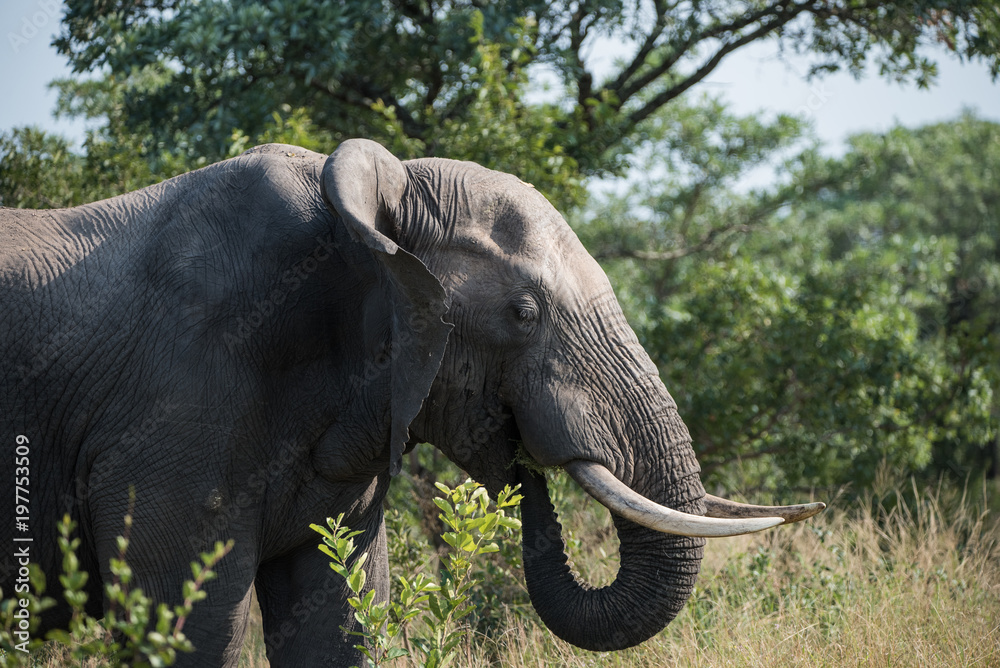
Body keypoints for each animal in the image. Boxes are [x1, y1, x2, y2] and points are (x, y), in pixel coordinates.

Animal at [0, 139, 823, 665]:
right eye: (523, 313)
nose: (524, 467)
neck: (360, 223)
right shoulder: (175, 419)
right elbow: (193, 631)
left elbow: (339, 625)